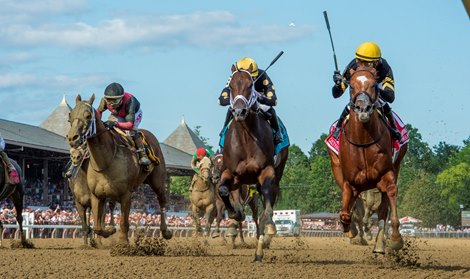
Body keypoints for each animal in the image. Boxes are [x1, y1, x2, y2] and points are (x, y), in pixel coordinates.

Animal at [68, 95, 173, 244]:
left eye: (88, 116)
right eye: (70, 117)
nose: (72, 138)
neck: (105, 162)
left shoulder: (126, 194)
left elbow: (123, 222)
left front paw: (123, 242)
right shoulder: (97, 196)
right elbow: (97, 227)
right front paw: (108, 231)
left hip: (157, 181)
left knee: (162, 200)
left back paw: (166, 231)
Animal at [218, 65, 288, 262]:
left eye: (251, 85)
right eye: (230, 85)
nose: (239, 112)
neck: (246, 137)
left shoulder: (266, 172)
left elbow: (267, 210)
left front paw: (262, 243)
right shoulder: (232, 174)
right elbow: (223, 190)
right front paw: (234, 215)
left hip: (276, 174)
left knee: (267, 202)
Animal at [326, 66, 408, 254]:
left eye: (374, 86)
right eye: (351, 86)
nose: (363, 109)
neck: (363, 142)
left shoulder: (386, 174)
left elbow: (390, 196)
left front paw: (395, 239)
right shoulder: (350, 182)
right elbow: (346, 212)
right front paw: (351, 230)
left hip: (396, 164)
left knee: (383, 209)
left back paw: (379, 245)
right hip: (337, 167)